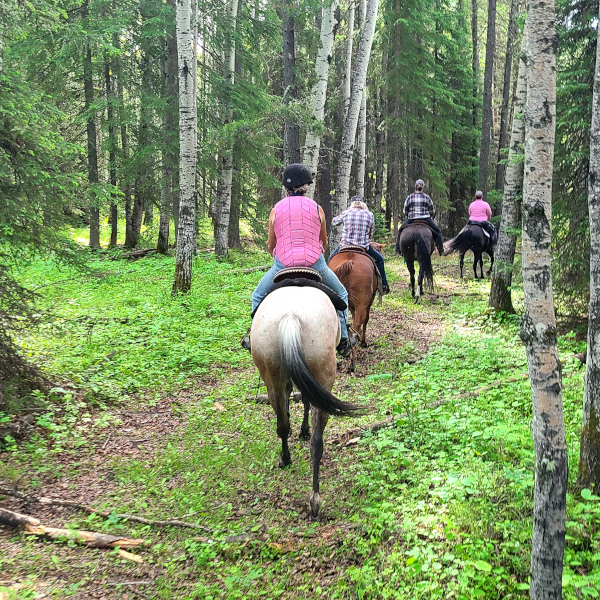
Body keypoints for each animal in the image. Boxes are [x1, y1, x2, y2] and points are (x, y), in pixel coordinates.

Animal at [251, 282, 364, 520]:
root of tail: (291, 316)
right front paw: (303, 431)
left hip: (272, 377)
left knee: (285, 426)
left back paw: (288, 462)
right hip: (320, 376)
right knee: (314, 439)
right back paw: (314, 499)